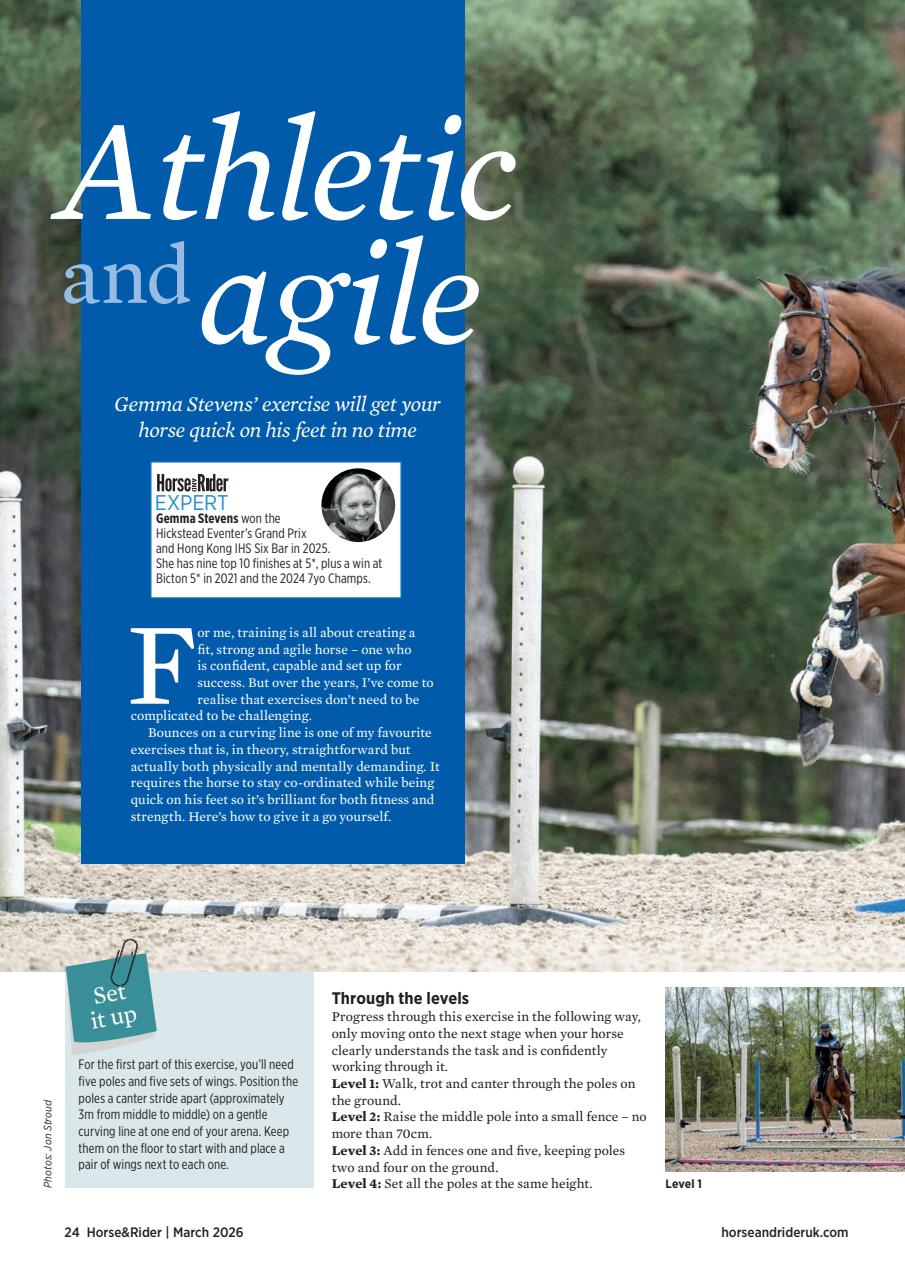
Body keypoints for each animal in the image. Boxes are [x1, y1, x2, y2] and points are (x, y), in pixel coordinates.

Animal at [752, 269, 905, 764]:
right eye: (771, 347)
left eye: (798, 349)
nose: (765, 445)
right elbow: (839, 607)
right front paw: (823, 686)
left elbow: (849, 557)